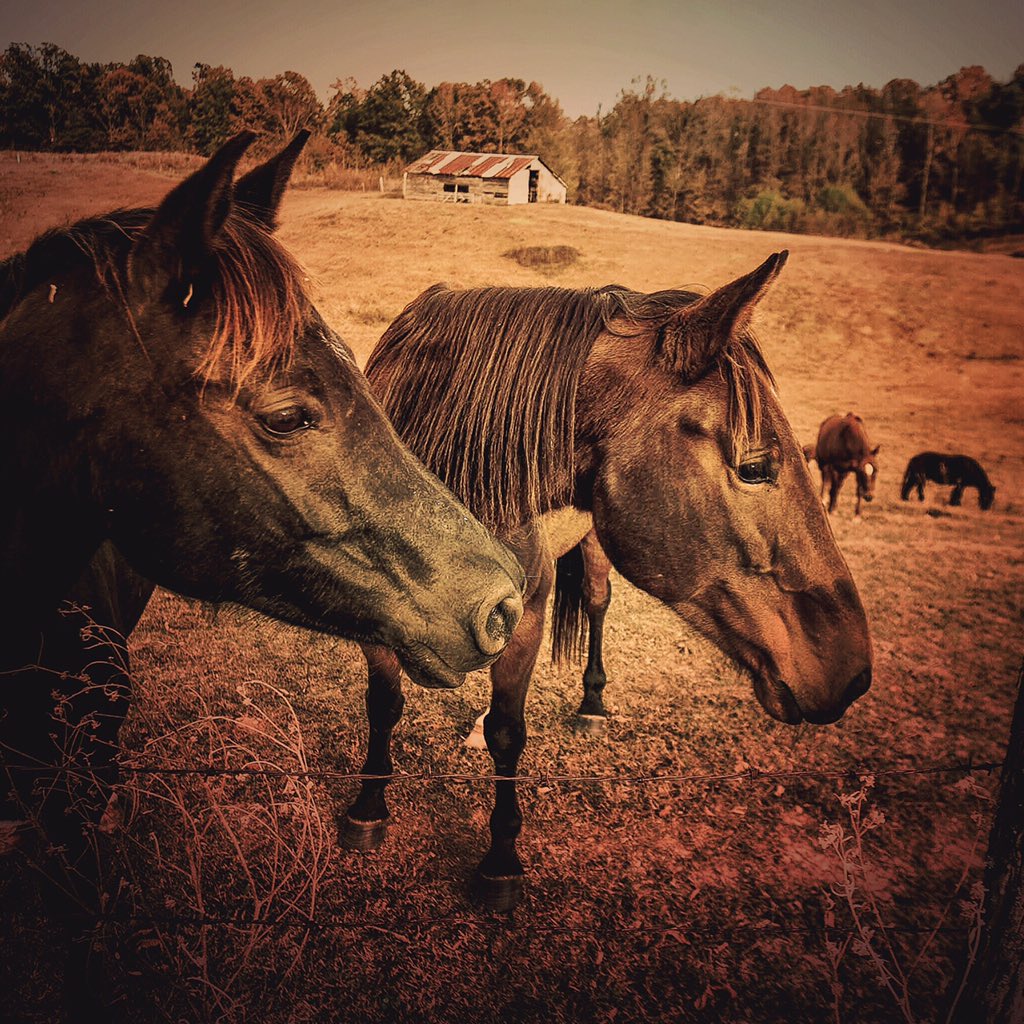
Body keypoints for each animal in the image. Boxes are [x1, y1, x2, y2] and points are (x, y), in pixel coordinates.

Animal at [342, 251, 874, 911]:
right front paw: (367, 806)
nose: (852, 669)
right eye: (756, 467)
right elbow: (383, 704)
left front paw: (500, 860)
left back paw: (592, 702)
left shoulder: (528, 616)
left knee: (596, 606)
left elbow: (507, 732)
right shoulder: (374, 615)